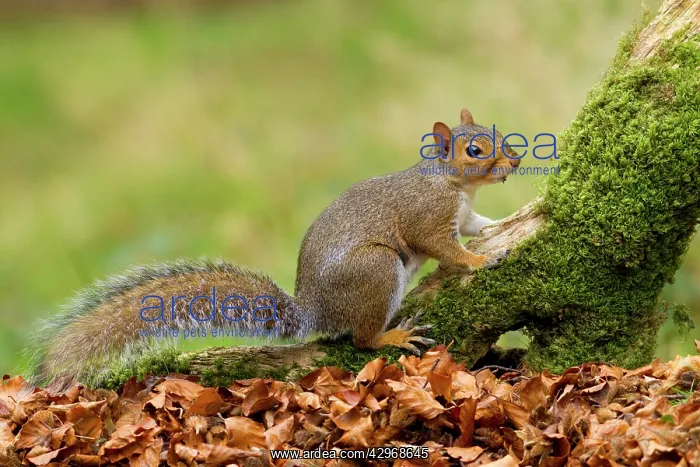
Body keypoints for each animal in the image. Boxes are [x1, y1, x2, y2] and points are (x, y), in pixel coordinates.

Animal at [27, 108, 521, 390]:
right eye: (475, 151)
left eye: (499, 133)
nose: (514, 162)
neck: (453, 184)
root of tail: (315, 312)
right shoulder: (427, 218)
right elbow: (444, 248)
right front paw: (480, 259)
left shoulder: (462, 215)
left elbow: (477, 225)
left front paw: (503, 227)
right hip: (376, 269)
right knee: (361, 339)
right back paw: (394, 335)